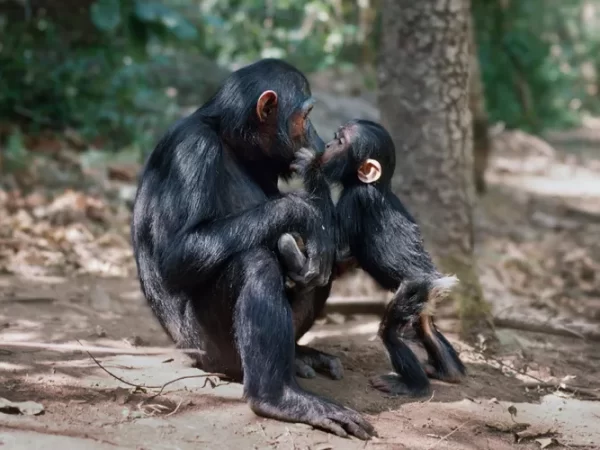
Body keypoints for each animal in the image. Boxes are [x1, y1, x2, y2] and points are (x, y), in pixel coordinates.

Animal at [132, 59, 376, 440]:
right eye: (306, 116)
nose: (319, 140)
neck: (229, 141)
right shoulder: (192, 151)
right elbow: (178, 252)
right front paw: (304, 212)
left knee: (320, 270)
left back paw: (299, 355)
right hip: (209, 349)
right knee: (254, 263)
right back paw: (278, 397)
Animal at [278, 120, 466, 398]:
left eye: (341, 141)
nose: (328, 145)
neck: (374, 185)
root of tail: (435, 281)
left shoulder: (356, 200)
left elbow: (331, 243)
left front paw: (310, 166)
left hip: (413, 290)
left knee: (390, 333)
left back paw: (412, 385)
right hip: (424, 300)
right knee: (425, 328)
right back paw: (448, 370)